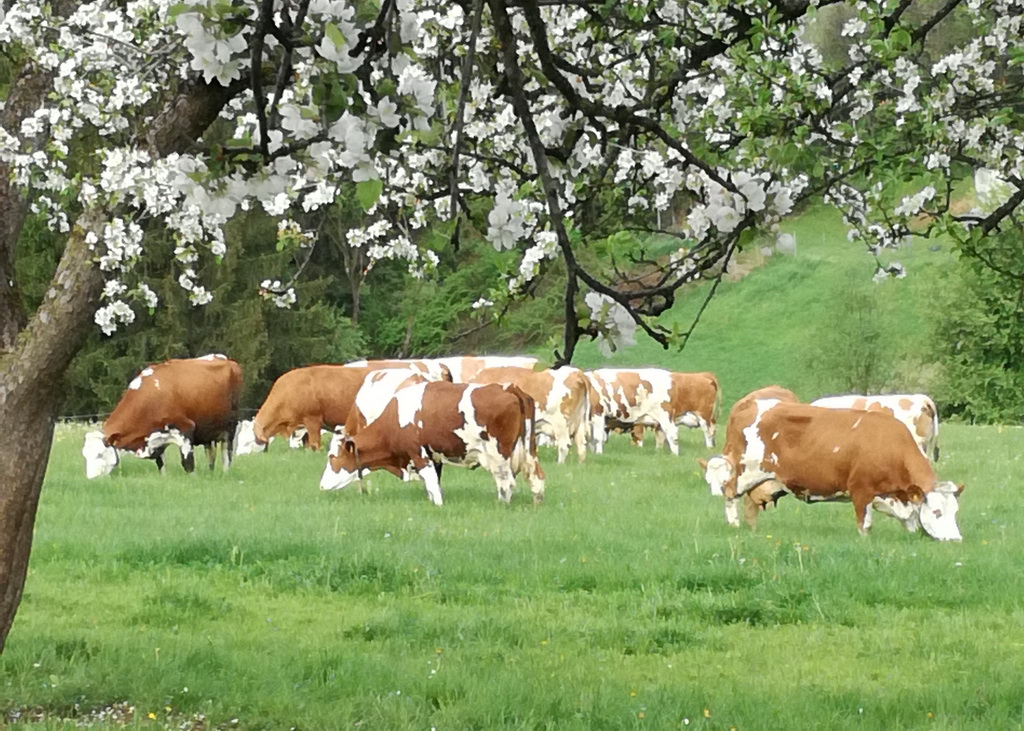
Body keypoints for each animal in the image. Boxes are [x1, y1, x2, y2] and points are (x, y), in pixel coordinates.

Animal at [82, 354, 242, 479]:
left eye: (99, 454)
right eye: (85, 455)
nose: (92, 479)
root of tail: (228, 360)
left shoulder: (185, 429)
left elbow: (188, 464)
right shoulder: (155, 439)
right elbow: (161, 464)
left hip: (230, 427)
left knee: (226, 454)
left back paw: (225, 473)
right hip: (207, 430)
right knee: (210, 453)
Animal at [319, 378, 548, 503]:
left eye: (332, 457)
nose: (321, 486)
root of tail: (508, 387)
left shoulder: (419, 454)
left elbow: (431, 484)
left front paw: (438, 505)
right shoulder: (433, 456)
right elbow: (433, 483)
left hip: (498, 454)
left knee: (506, 482)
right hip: (529, 451)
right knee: (536, 478)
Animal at [585, 366, 720, 452]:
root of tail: (705, 374)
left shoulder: (598, 414)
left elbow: (597, 438)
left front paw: (598, 454)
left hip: (697, 416)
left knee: (694, 432)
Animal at [704, 399, 958, 536]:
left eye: (955, 511)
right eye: (937, 511)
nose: (955, 540)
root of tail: (748, 403)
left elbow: (911, 519)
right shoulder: (861, 490)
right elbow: (864, 524)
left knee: (750, 505)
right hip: (741, 471)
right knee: (730, 495)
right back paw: (734, 525)